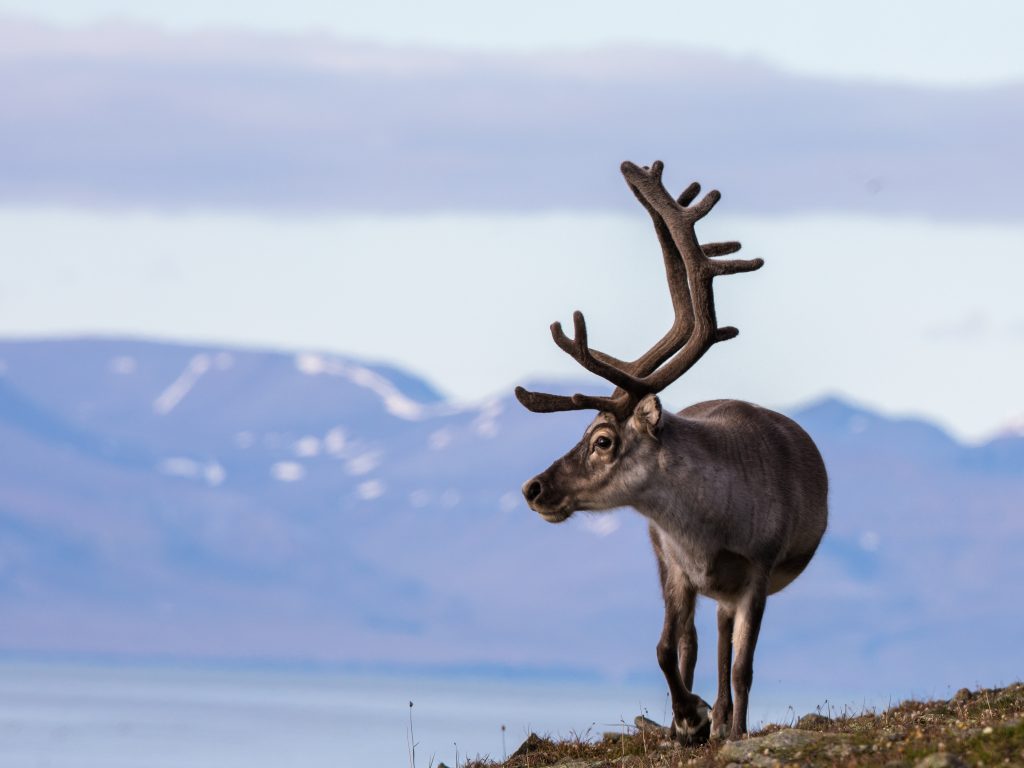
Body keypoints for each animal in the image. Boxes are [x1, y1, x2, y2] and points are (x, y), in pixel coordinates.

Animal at [515, 160, 828, 743]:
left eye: (603, 440)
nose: (534, 487)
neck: (712, 524)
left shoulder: (757, 570)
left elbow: (743, 666)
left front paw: (728, 728)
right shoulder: (676, 566)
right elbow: (666, 648)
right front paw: (688, 717)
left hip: (734, 589)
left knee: (728, 648)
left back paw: (726, 719)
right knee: (695, 644)